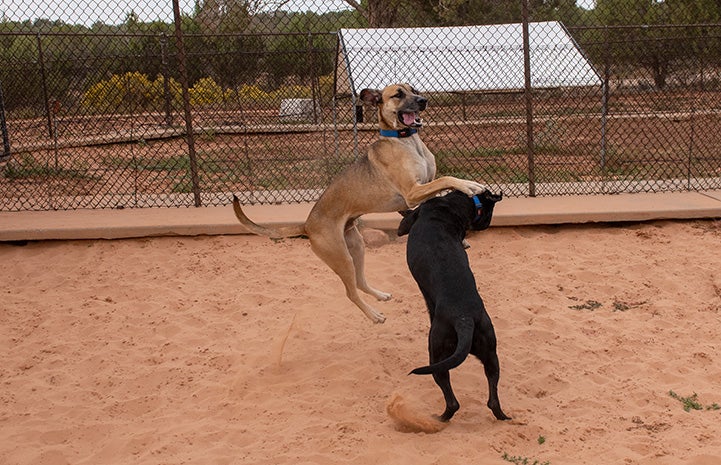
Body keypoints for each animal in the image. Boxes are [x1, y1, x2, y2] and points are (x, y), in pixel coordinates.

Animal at [233, 83, 486, 322]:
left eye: (414, 90)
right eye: (398, 94)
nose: (423, 100)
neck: (407, 142)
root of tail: (307, 225)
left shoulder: (425, 188)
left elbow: (441, 192)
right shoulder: (412, 192)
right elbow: (447, 179)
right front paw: (470, 185)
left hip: (357, 246)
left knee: (360, 282)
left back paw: (380, 296)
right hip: (341, 257)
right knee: (351, 292)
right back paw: (374, 315)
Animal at [396, 188, 510, 420]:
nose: (486, 225)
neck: (454, 204)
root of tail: (464, 319)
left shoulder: (411, 220)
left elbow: (405, 219)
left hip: (436, 355)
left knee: (452, 401)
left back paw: (439, 418)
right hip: (491, 354)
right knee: (492, 398)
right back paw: (504, 417)